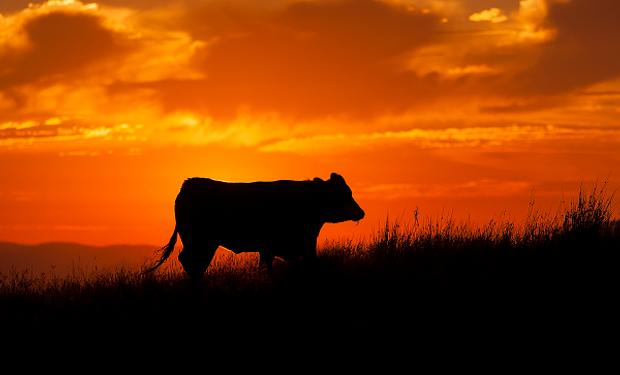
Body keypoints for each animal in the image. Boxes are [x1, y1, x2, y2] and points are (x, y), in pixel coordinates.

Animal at [145, 173, 364, 280]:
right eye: (345, 194)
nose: (361, 212)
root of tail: (188, 184)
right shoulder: (285, 245)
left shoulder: (292, 245)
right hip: (198, 240)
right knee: (189, 261)